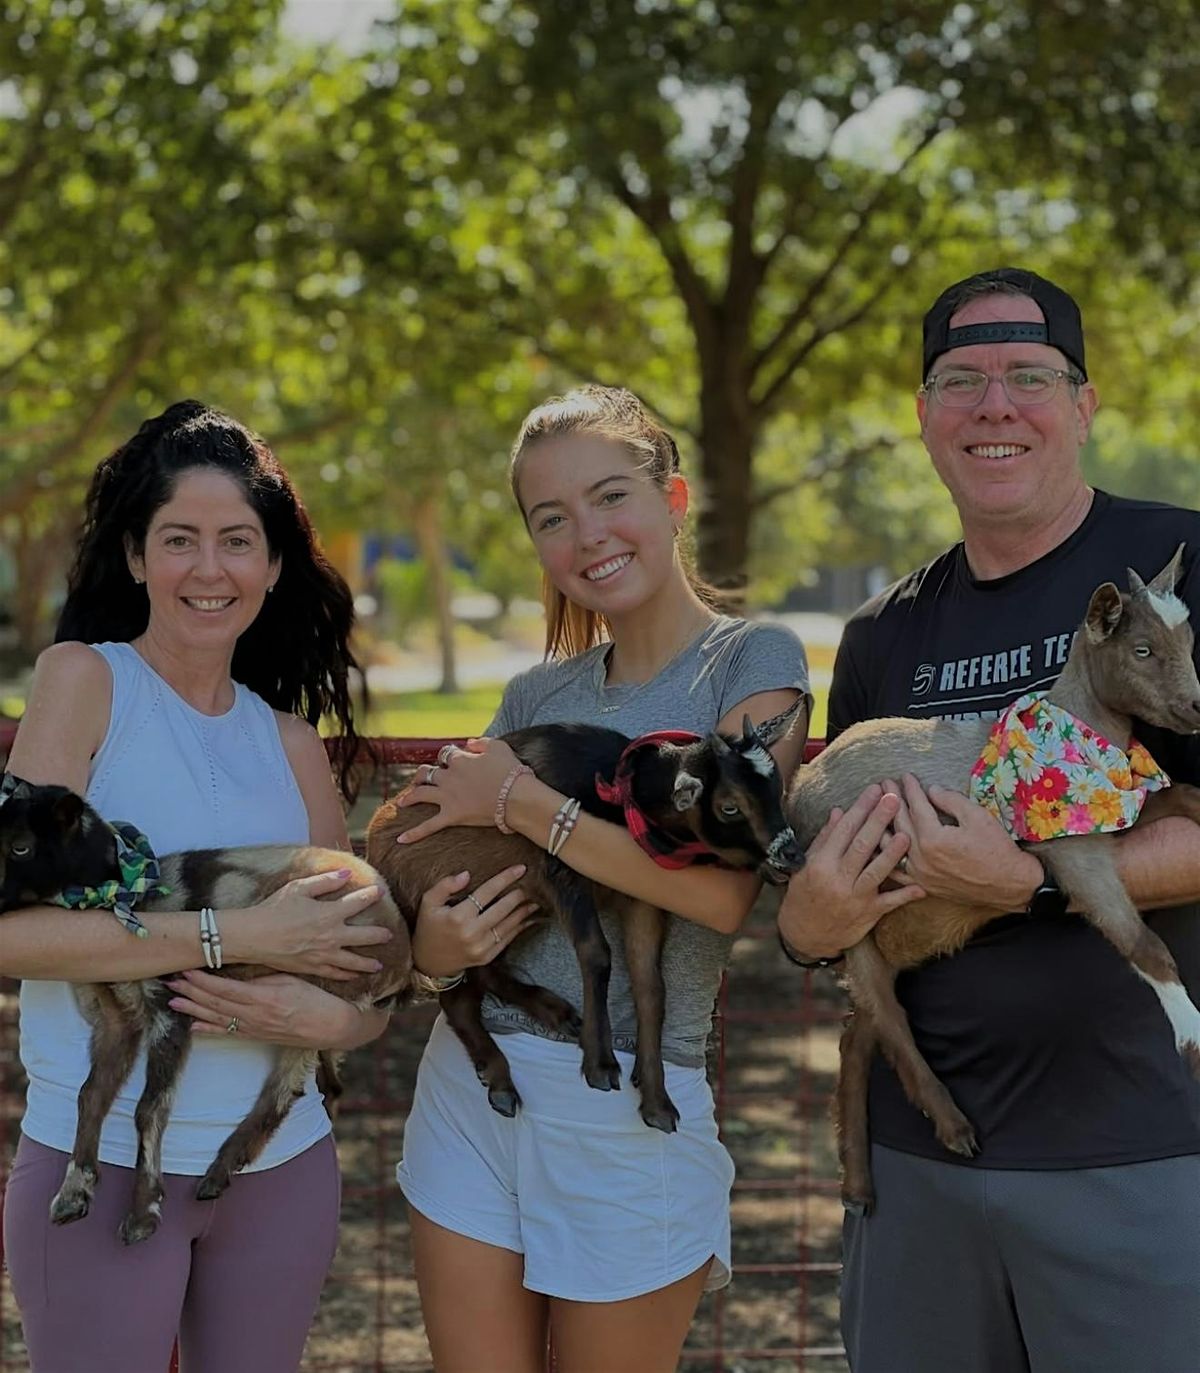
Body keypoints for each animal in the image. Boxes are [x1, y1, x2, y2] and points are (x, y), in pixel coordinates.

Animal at [0, 785, 409, 1246]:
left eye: (20, 846)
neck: (127, 896)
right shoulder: (116, 1016)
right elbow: (91, 1095)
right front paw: (73, 1194)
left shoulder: (170, 1006)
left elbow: (148, 1108)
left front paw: (142, 1214)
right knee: (293, 1089)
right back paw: (218, 1175)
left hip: (316, 994)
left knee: (287, 1086)